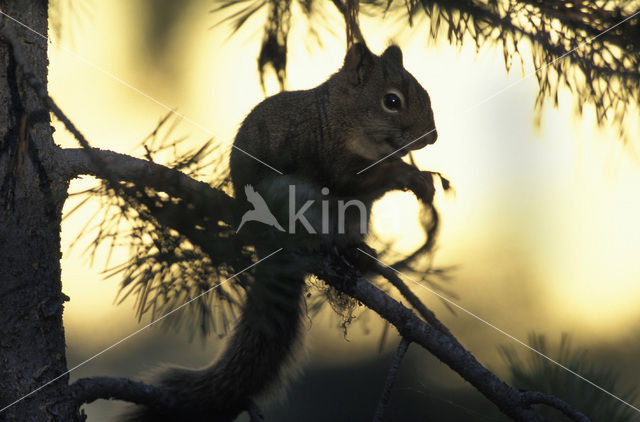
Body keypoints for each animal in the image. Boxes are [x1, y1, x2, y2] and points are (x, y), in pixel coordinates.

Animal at [122, 42, 438, 422]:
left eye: (424, 92)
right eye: (392, 101)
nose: (433, 136)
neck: (338, 118)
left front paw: (422, 180)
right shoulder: (327, 155)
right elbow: (354, 180)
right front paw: (406, 174)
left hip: (353, 217)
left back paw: (356, 254)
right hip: (288, 197)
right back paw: (322, 247)